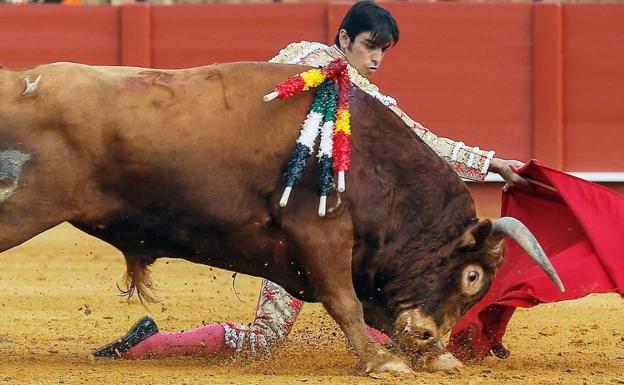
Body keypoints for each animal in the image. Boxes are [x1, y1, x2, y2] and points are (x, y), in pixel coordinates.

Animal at [0, 61, 564, 374]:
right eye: (472, 277)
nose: (428, 334)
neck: (370, 163)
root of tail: (18, 81)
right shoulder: (322, 234)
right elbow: (347, 303)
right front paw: (385, 362)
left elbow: (374, 310)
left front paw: (433, 357)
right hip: (23, 206)